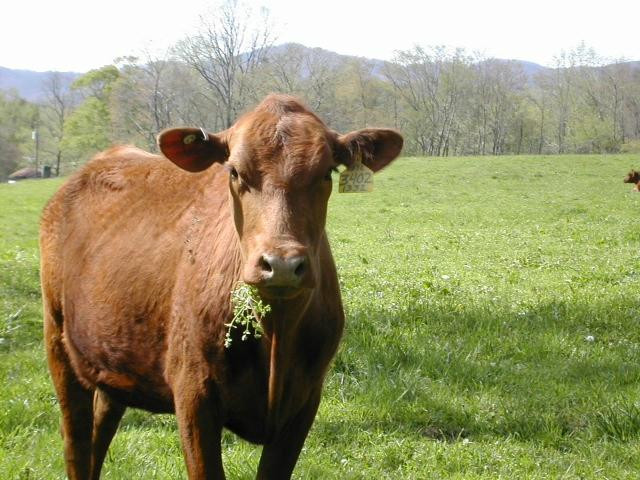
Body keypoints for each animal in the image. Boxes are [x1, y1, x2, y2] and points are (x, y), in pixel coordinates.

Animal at [40, 94, 402, 480]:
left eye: (326, 172)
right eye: (235, 172)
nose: (282, 264)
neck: (277, 336)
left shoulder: (304, 401)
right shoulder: (194, 394)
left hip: (113, 356)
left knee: (100, 425)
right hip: (58, 343)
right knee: (77, 441)